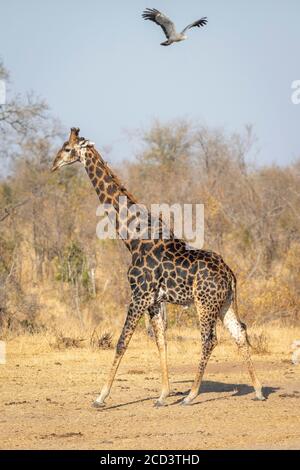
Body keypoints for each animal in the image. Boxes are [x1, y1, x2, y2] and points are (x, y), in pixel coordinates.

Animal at [51, 129, 264, 408]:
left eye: (67, 148)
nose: (53, 165)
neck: (133, 240)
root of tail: (230, 276)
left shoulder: (139, 295)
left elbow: (122, 342)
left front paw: (100, 397)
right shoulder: (154, 300)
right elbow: (161, 342)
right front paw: (162, 396)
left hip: (204, 303)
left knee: (209, 339)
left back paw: (191, 395)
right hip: (225, 302)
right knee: (240, 332)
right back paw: (258, 390)